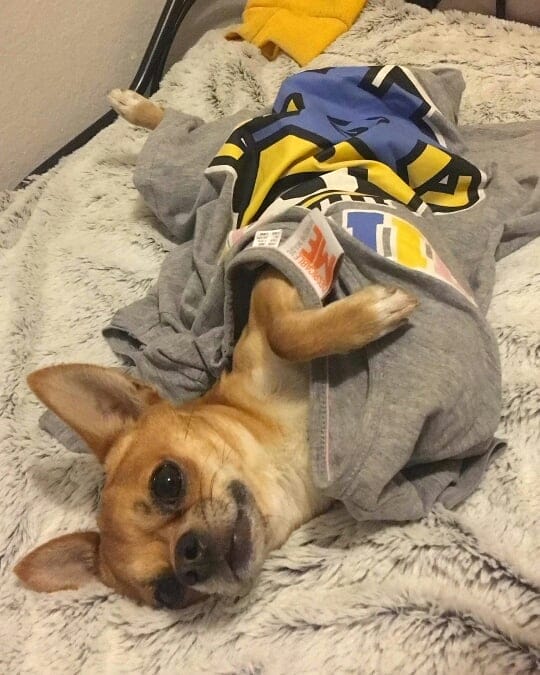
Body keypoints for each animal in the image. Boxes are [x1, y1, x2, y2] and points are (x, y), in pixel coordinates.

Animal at [14, 90, 417, 609]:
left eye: (167, 481)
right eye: (169, 593)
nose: (190, 557)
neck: (286, 466)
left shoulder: (270, 275)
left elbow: (286, 332)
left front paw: (372, 311)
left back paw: (139, 107)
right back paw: (135, 107)